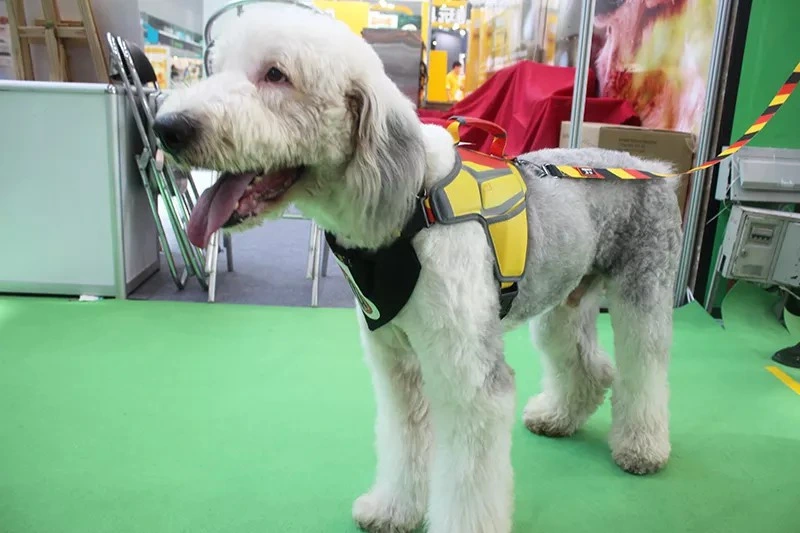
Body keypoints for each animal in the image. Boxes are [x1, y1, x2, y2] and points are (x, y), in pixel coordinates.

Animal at [155, 5, 680, 532]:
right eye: (216, 66)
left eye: (276, 74)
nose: (167, 128)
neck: (413, 207)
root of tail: (648, 165)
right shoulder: (398, 363)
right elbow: (404, 442)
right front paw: (391, 510)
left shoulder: (468, 376)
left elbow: (467, 482)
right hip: (564, 302)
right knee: (589, 366)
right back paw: (557, 417)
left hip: (645, 292)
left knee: (645, 367)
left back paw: (641, 448)